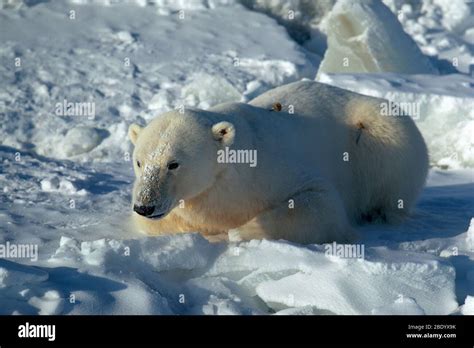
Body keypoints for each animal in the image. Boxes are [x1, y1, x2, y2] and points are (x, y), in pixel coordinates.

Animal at [129, 81, 430, 245]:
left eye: (173, 164)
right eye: (139, 162)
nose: (145, 206)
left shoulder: (270, 170)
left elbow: (321, 203)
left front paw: (240, 231)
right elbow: (161, 223)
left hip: (383, 136)